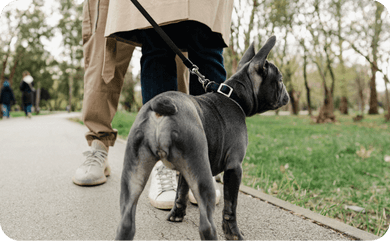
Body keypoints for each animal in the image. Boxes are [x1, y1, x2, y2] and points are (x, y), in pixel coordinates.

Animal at [114, 35, 288, 241]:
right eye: (280, 80)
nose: (286, 95)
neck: (234, 96)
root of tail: (161, 106)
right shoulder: (234, 167)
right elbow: (231, 206)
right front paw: (233, 234)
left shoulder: (185, 171)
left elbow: (181, 192)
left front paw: (176, 215)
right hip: (203, 176)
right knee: (206, 225)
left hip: (134, 174)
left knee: (126, 222)